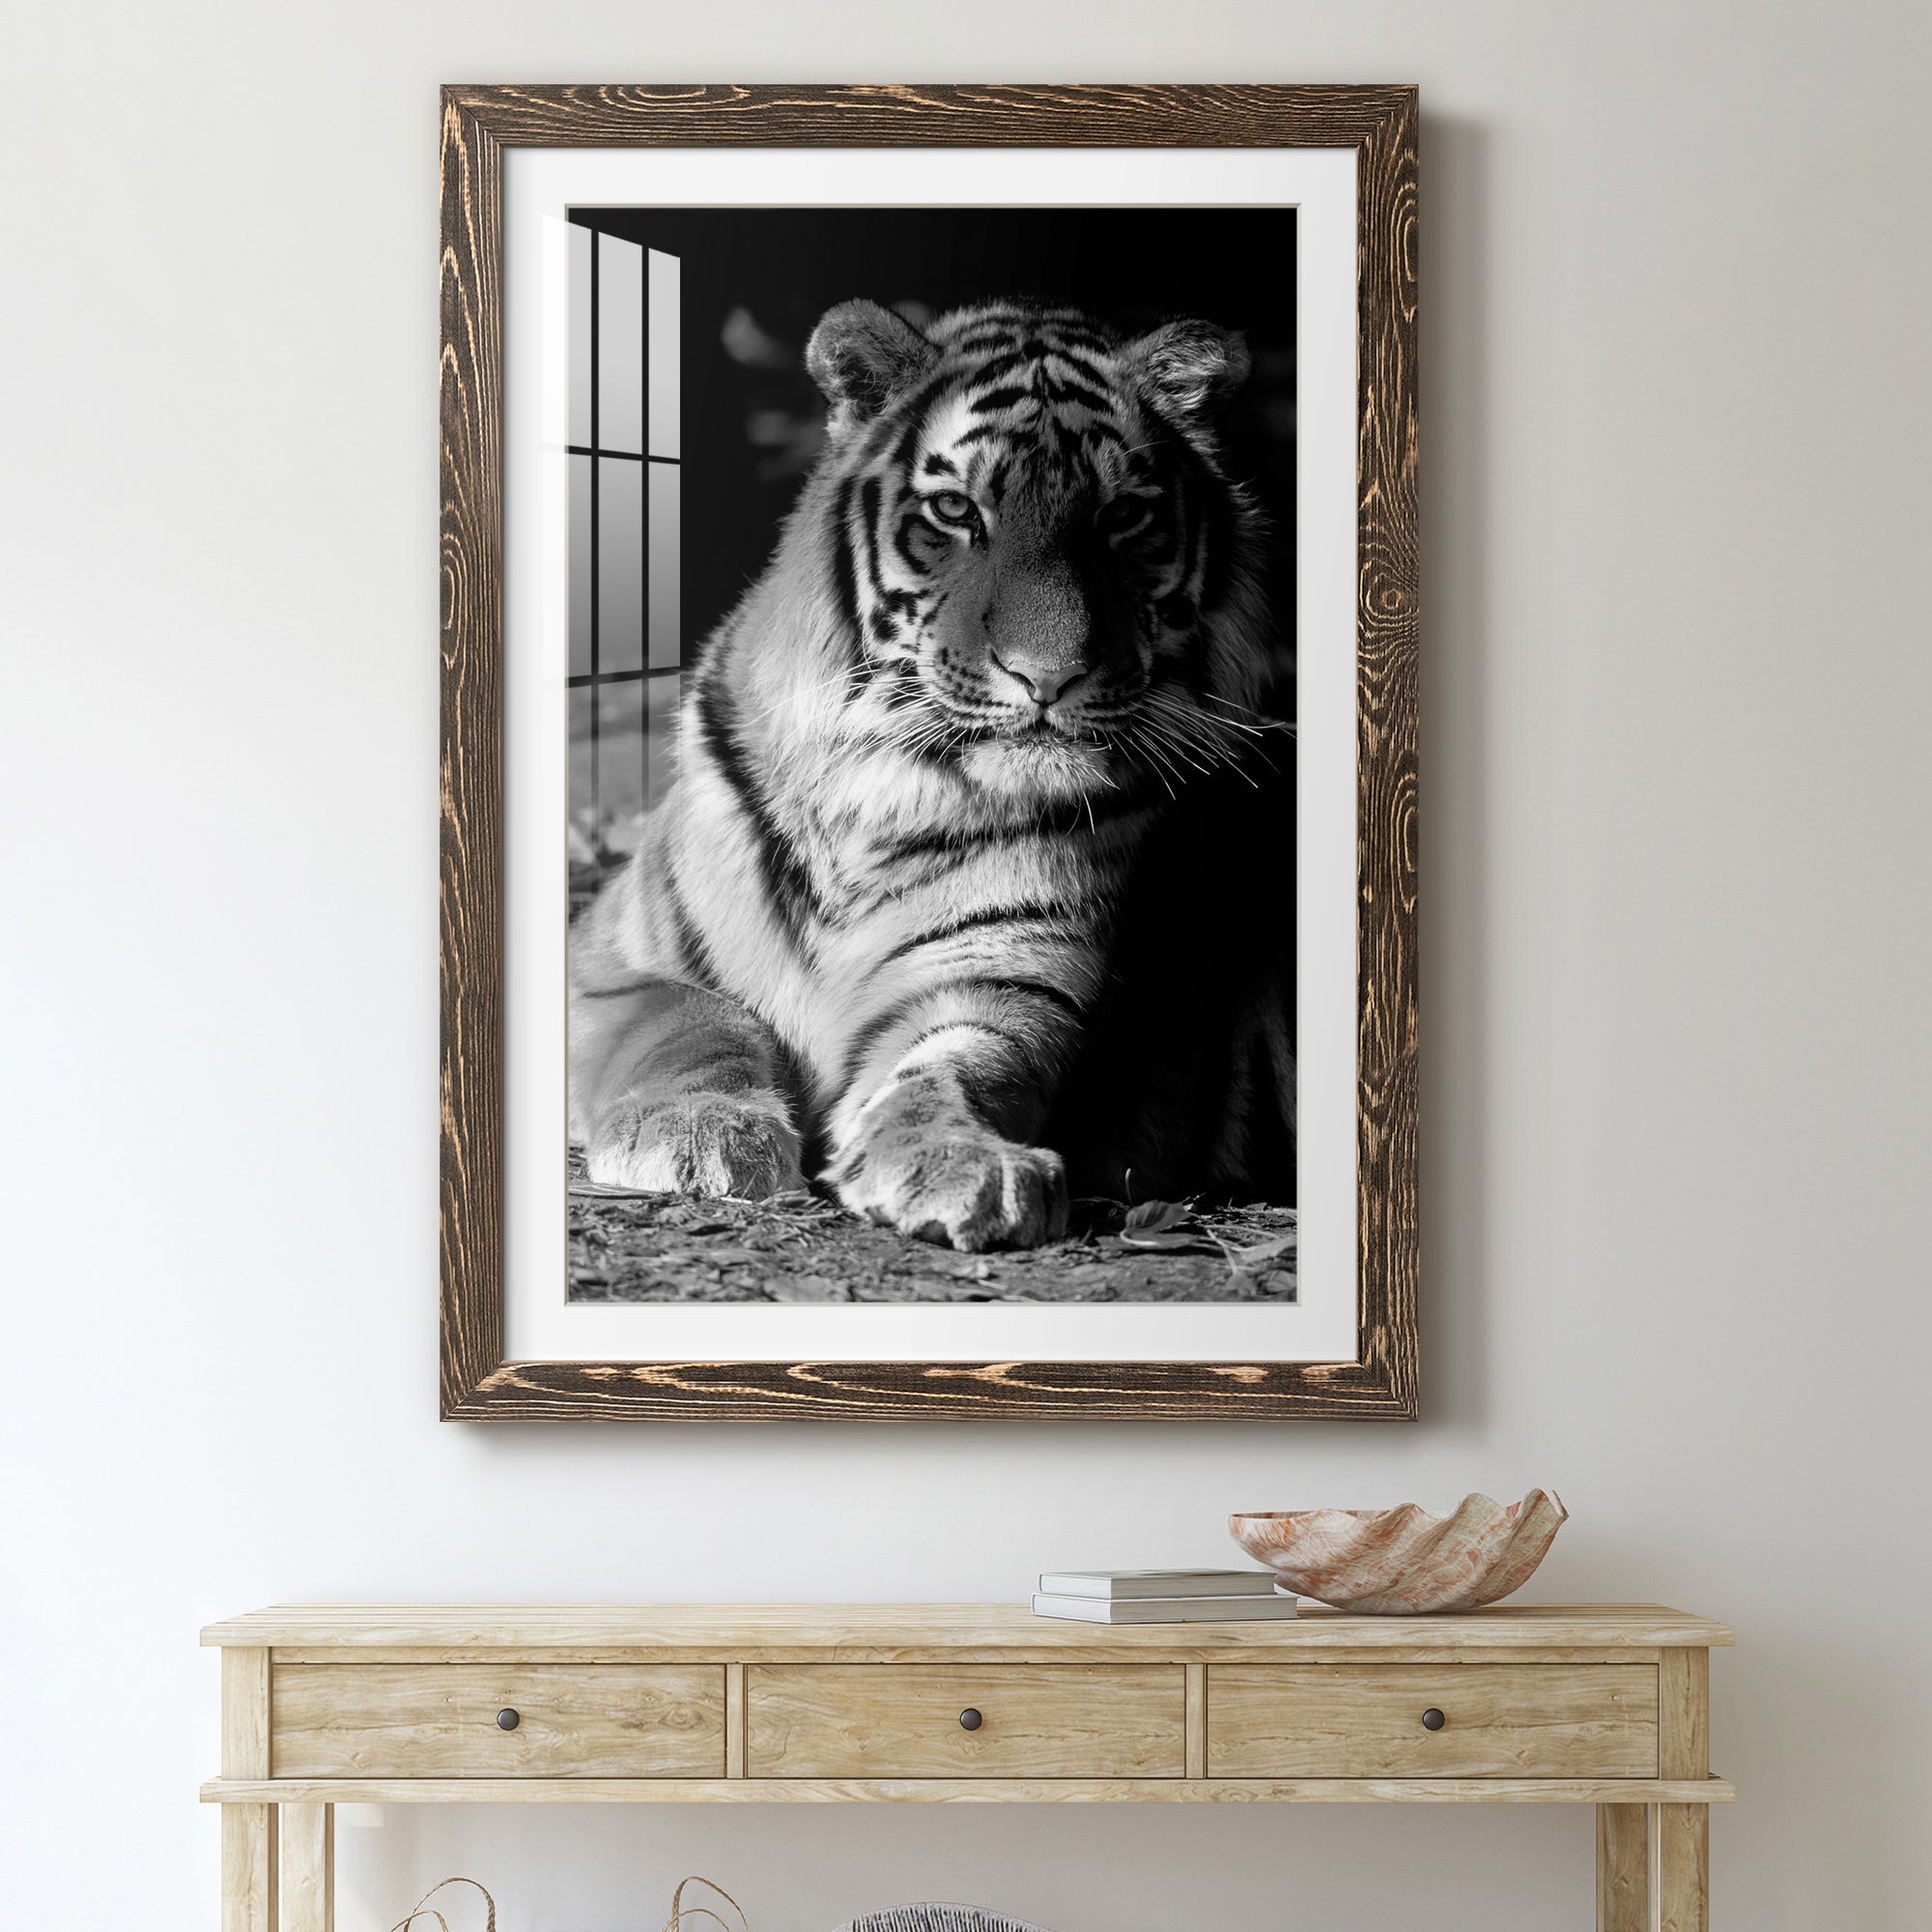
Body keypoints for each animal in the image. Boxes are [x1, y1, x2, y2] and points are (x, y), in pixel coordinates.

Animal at [568, 296, 1295, 1254]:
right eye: (956, 510)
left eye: (1122, 518)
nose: (1048, 676)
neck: (879, 793)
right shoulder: (610, 959)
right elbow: (694, 1021)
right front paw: (697, 1133)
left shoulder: (1002, 981)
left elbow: (955, 1068)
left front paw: (963, 1162)